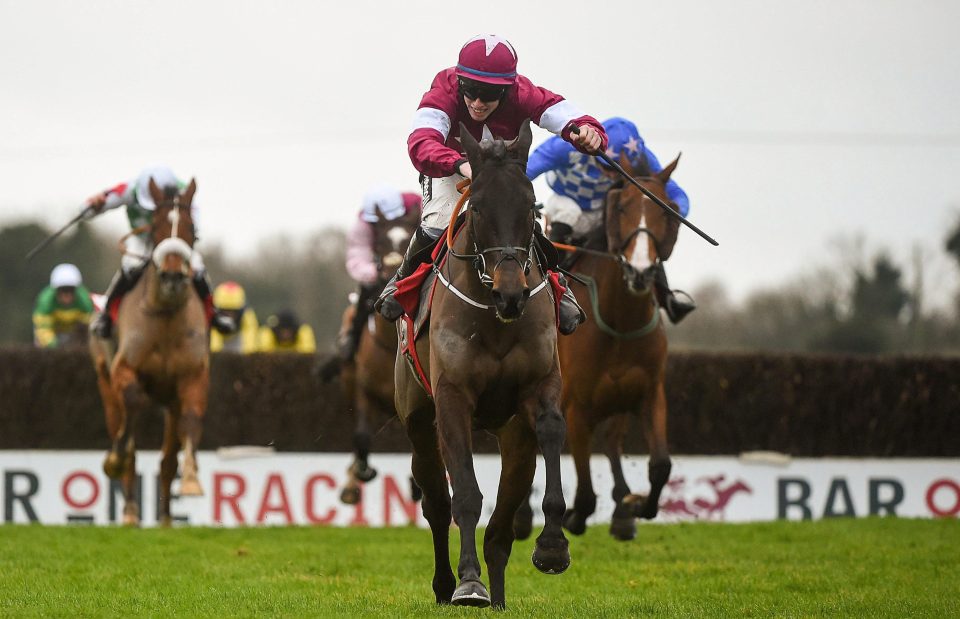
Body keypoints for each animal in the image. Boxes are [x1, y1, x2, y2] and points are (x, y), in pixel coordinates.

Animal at [88, 177, 208, 524]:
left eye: (191, 227)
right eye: (155, 227)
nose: (172, 276)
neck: (165, 312)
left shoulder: (193, 377)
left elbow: (192, 421)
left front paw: (192, 479)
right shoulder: (122, 369)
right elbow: (132, 405)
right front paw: (115, 459)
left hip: (170, 403)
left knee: (168, 459)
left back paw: (166, 517)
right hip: (105, 383)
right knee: (123, 429)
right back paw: (129, 512)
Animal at [340, 203, 422, 504]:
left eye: (409, 237)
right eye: (379, 243)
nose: (390, 273)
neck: (389, 345)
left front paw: (417, 485)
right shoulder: (365, 391)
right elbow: (362, 436)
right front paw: (361, 474)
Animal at [392, 121, 568, 612]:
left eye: (531, 207)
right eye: (478, 209)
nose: (511, 293)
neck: (496, 319)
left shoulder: (539, 387)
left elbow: (551, 431)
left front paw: (553, 546)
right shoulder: (452, 398)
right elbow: (466, 496)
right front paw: (468, 583)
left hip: (513, 436)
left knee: (502, 527)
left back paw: (500, 598)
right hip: (417, 422)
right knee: (436, 504)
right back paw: (444, 584)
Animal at [556, 156, 684, 544]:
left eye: (667, 209)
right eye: (623, 206)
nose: (640, 271)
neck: (620, 324)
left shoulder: (650, 393)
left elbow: (661, 465)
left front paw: (636, 504)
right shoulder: (574, 407)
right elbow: (584, 494)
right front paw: (572, 516)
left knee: (612, 443)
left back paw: (622, 508)